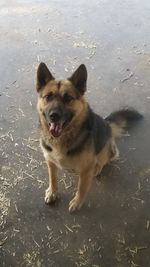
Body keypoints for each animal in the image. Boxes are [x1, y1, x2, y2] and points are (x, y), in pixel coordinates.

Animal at [36, 62, 143, 214]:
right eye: (48, 97)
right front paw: (52, 192)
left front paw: (77, 202)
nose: (54, 115)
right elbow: (53, 179)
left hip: (105, 150)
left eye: (68, 98)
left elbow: (81, 188)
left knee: (104, 160)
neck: (63, 138)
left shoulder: (86, 169)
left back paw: (97, 169)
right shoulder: (50, 162)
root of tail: (106, 123)